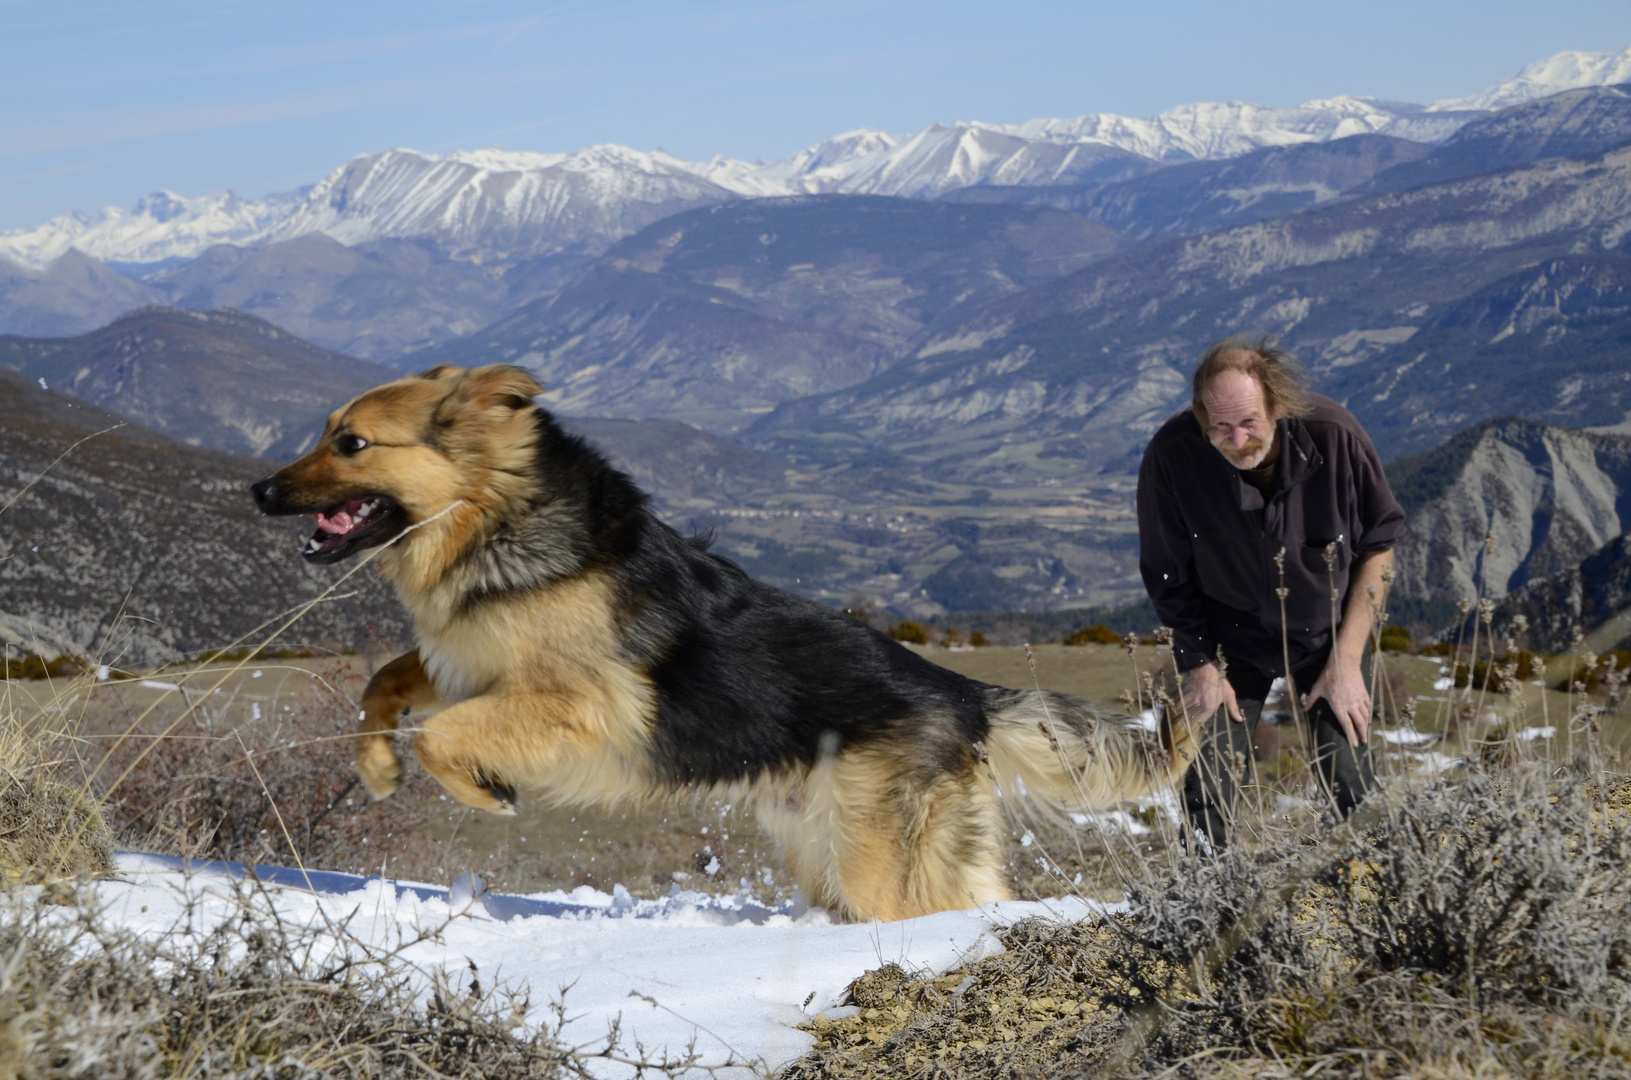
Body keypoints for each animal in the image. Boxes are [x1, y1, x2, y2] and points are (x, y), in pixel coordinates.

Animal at [251, 365, 1200, 920]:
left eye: (350, 443)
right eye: (325, 431)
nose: (257, 491)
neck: (494, 515)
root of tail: (961, 694)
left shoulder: (581, 704)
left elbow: (442, 733)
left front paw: (486, 793)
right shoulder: (467, 662)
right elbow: (384, 682)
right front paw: (376, 767)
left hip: (873, 860)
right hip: (840, 847)